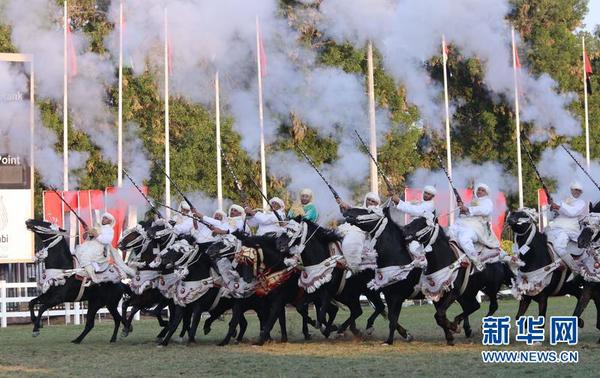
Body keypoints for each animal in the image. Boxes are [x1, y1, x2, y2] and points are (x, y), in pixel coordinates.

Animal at [342, 205, 422, 344]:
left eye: (370, 210)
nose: (347, 209)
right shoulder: (387, 294)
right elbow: (390, 316)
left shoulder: (396, 296)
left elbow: (392, 317)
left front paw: (389, 341)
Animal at [404, 214, 510, 344]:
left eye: (422, 222)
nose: (404, 228)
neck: (442, 260)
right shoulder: (437, 293)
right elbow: (440, 316)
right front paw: (450, 334)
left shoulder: (453, 292)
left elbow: (439, 315)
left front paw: (453, 328)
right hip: (468, 292)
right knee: (473, 306)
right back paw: (467, 329)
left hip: (490, 288)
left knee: (492, 305)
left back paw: (482, 326)